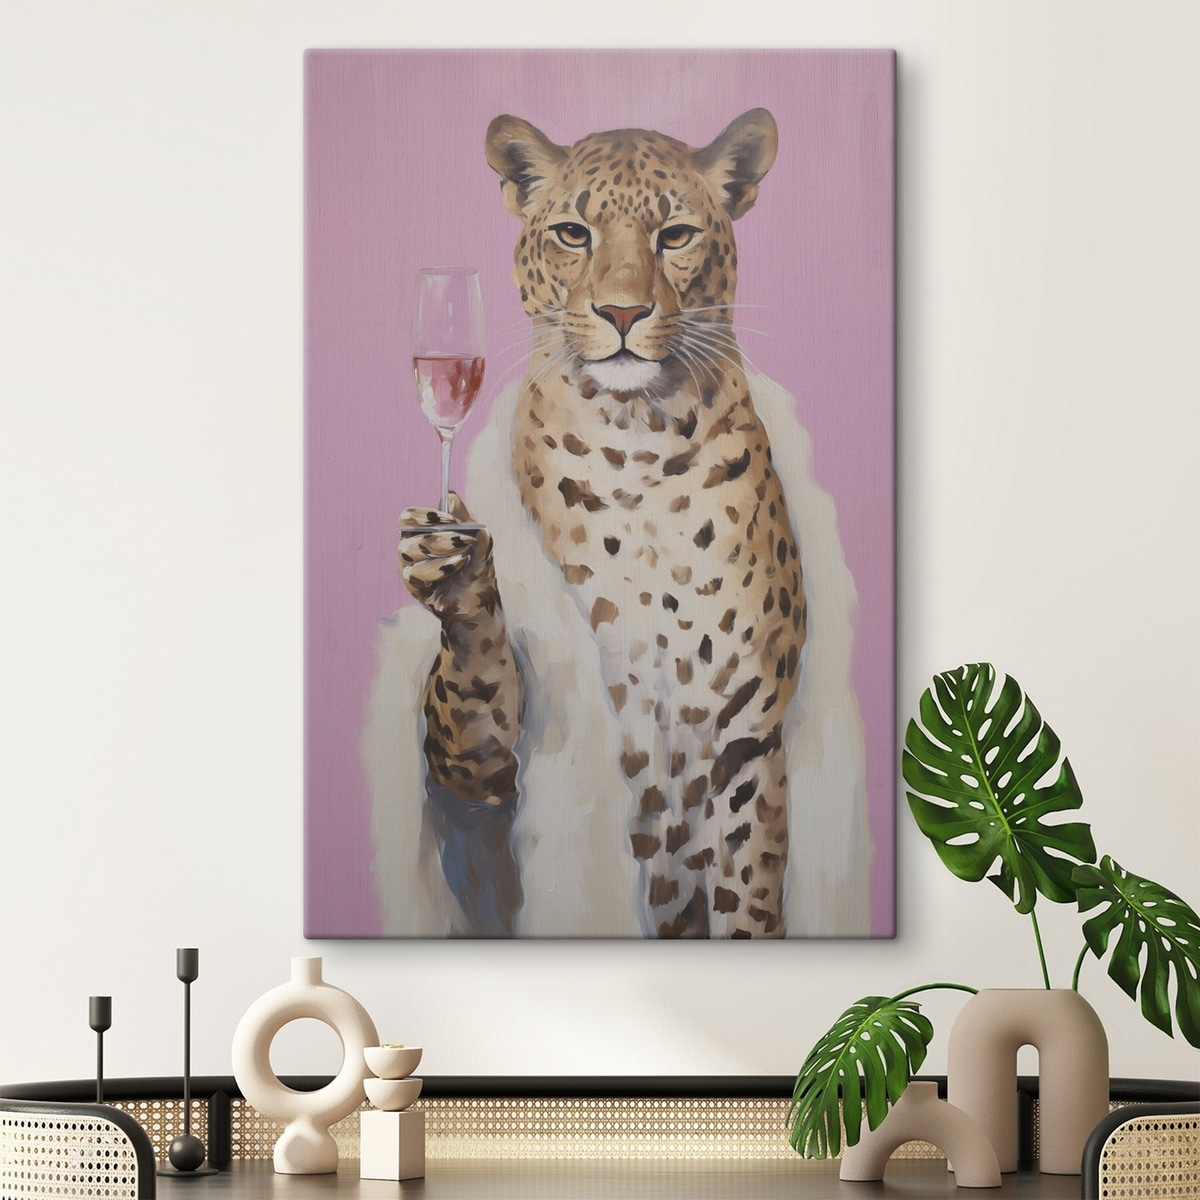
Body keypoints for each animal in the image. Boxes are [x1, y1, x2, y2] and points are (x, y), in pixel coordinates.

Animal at [398, 109, 807, 938]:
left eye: (675, 235)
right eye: (573, 233)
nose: (622, 312)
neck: (636, 444)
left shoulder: (743, 736)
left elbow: (747, 896)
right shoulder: (484, 759)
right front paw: (454, 572)